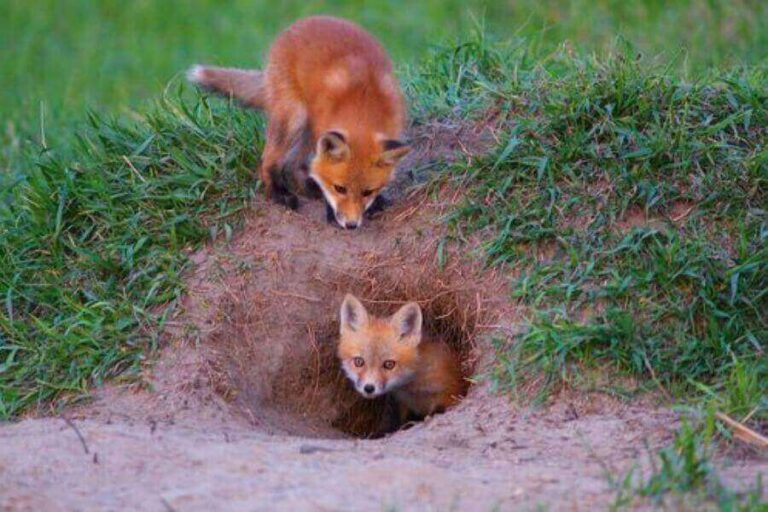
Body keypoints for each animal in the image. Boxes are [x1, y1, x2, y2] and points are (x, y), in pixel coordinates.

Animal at [187, 16, 411, 230]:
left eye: (367, 191)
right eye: (340, 188)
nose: (351, 225)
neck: (362, 106)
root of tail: (299, 24)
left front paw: (375, 203)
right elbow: (320, 171)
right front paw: (330, 211)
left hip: (309, 131)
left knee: (292, 165)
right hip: (295, 117)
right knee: (269, 161)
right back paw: (279, 194)